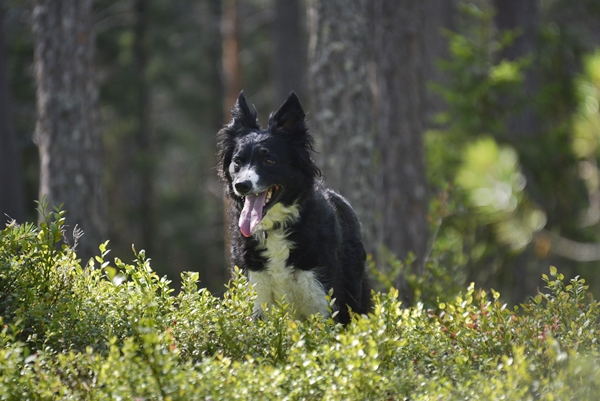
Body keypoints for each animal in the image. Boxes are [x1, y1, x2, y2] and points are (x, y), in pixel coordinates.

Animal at [218, 92, 372, 324]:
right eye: (237, 161)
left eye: (269, 160)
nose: (241, 185)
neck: (274, 228)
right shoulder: (257, 295)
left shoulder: (322, 298)